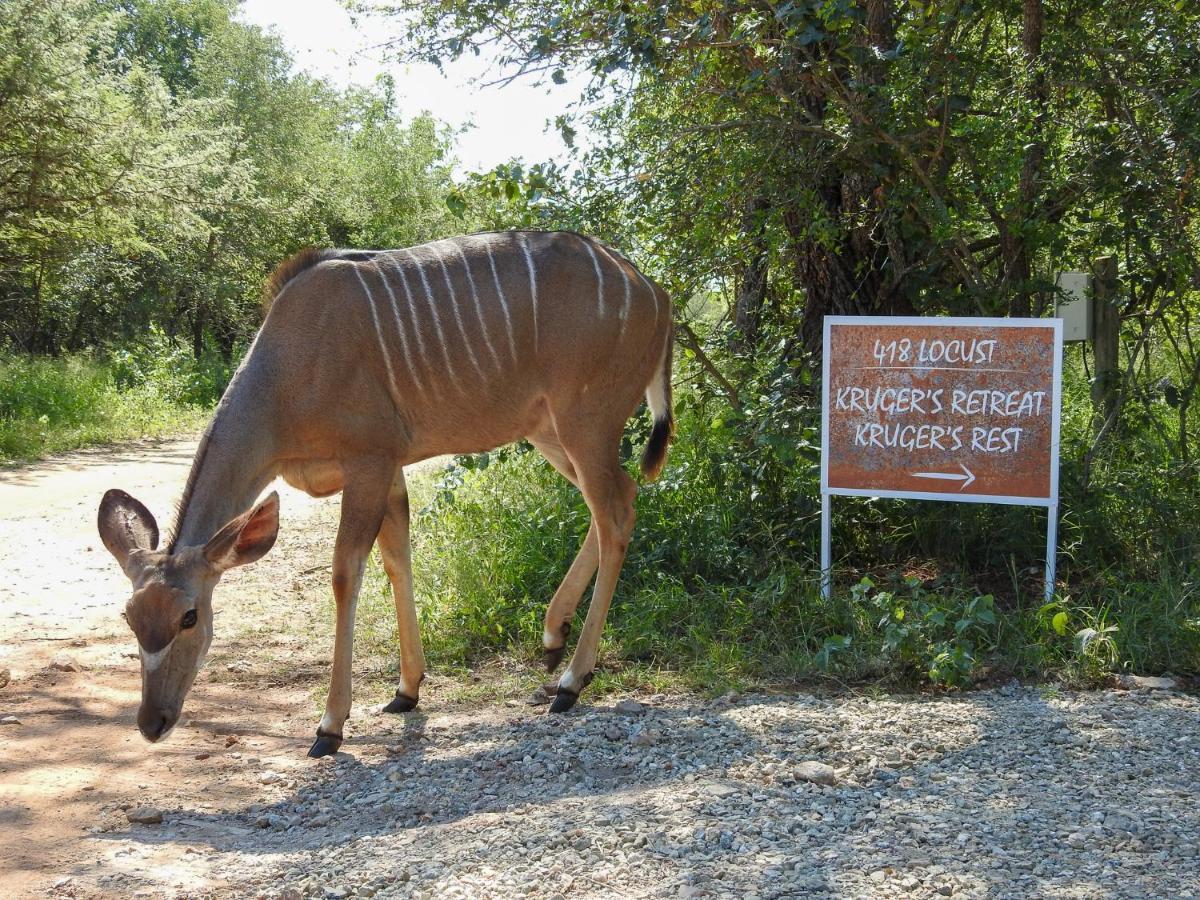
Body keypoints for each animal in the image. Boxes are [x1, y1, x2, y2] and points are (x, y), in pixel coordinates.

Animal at [96, 229, 676, 758]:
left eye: (189, 616)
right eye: (130, 617)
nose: (152, 722)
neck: (289, 366)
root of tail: (655, 292)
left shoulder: (369, 462)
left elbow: (346, 572)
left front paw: (330, 726)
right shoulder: (392, 468)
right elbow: (398, 559)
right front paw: (406, 690)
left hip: (584, 423)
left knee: (616, 510)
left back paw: (571, 682)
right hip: (550, 432)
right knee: (615, 502)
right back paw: (554, 639)